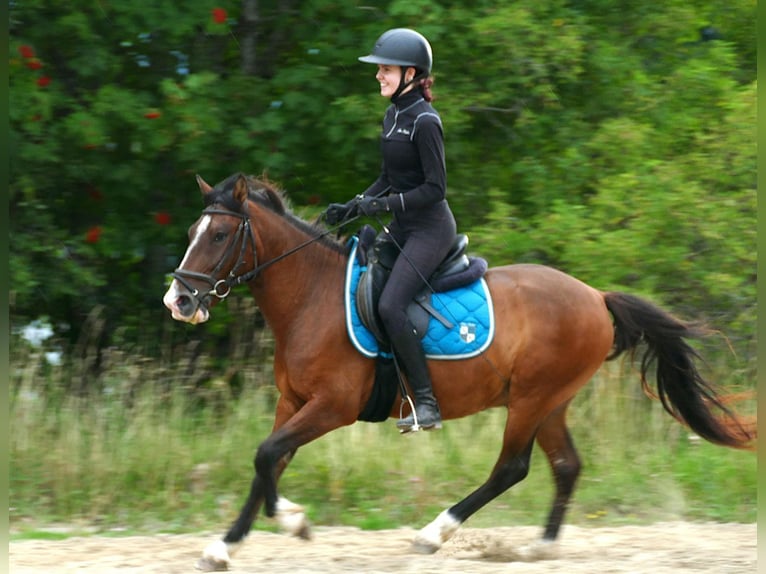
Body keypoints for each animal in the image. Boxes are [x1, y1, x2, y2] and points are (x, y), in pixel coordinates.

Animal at [162, 173, 754, 571]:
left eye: (218, 237)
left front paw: (293, 521)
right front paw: (225, 545)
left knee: (511, 468)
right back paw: (540, 546)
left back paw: (434, 534)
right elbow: (268, 462)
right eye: (192, 230)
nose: (179, 300)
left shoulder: (333, 407)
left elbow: (267, 457)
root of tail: (595, 296)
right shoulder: (294, 403)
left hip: (531, 399)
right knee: (566, 465)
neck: (312, 298)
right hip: (552, 402)